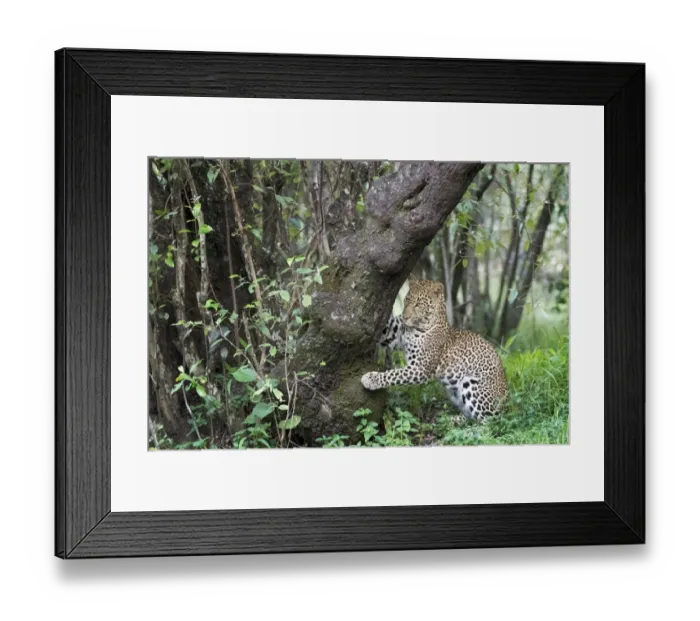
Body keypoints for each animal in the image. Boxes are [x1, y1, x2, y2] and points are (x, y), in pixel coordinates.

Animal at [361, 279, 508, 421]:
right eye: (407, 299)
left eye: (418, 304)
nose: (405, 317)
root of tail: (508, 400)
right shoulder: (394, 332)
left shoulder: (420, 368)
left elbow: (394, 374)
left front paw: (370, 379)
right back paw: (450, 419)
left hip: (472, 385)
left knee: (491, 421)